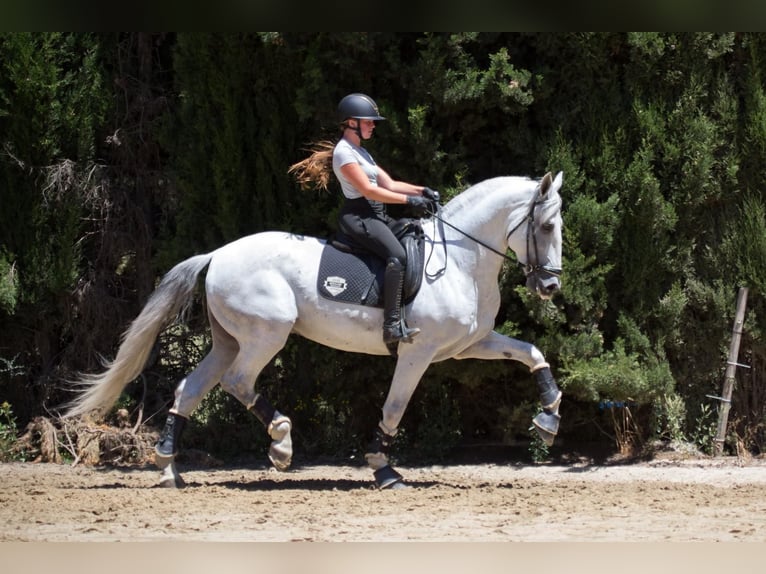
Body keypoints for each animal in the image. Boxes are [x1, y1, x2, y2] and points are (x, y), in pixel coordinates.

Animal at [63, 171, 564, 489]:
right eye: (545, 225)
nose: (550, 286)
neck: (459, 259)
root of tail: (218, 254)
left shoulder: (469, 345)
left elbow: (532, 353)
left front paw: (548, 419)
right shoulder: (417, 354)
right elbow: (395, 407)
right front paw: (383, 469)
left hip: (228, 340)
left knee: (191, 388)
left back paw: (170, 470)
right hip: (266, 334)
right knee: (237, 381)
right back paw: (281, 443)